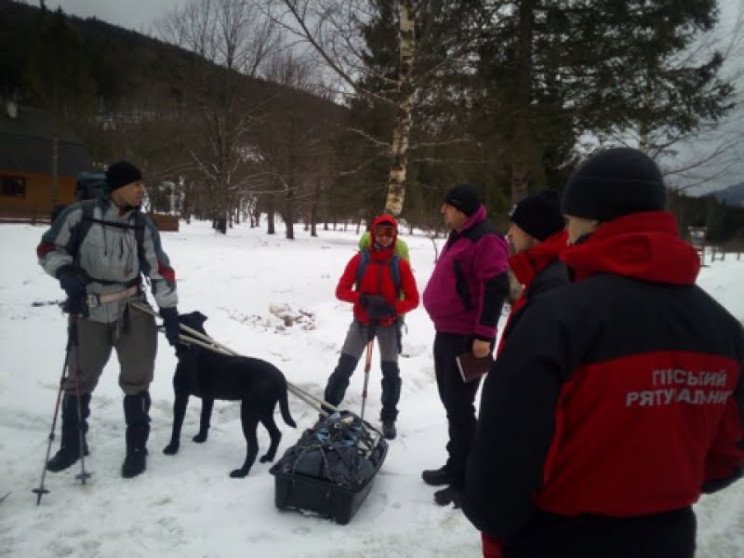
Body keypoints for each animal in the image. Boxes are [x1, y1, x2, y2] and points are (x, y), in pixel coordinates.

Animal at [164, 312, 298, 480]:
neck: (195, 346)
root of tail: (281, 377)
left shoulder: (181, 396)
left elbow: (177, 425)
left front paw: (172, 448)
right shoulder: (208, 398)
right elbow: (204, 419)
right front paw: (201, 438)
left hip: (249, 412)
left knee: (253, 446)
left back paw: (242, 472)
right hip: (263, 411)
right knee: (276, 434)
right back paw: (268, 457)